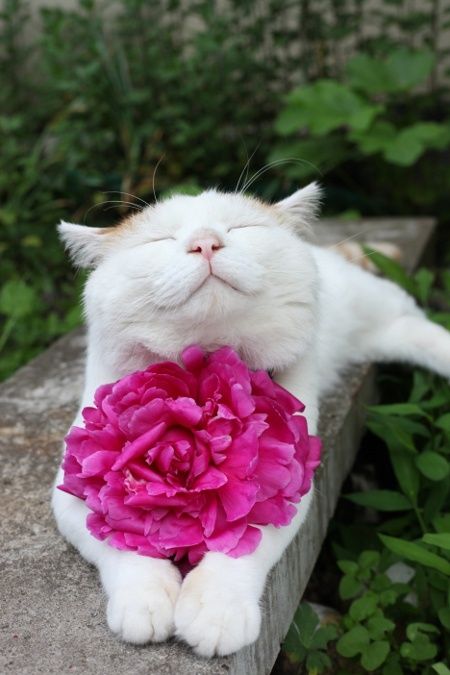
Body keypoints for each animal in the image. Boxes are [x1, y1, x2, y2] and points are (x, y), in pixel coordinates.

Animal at [51, 184, 450, 656]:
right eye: (160, 240)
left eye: (240, 228)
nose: (205, 242)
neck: (203, 359)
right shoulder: (75, 487)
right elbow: (115, 536)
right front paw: (143, 598)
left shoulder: (289, 479)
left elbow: (244, 541)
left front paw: (217, 609)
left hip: (385, 311)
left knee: (428, 332)